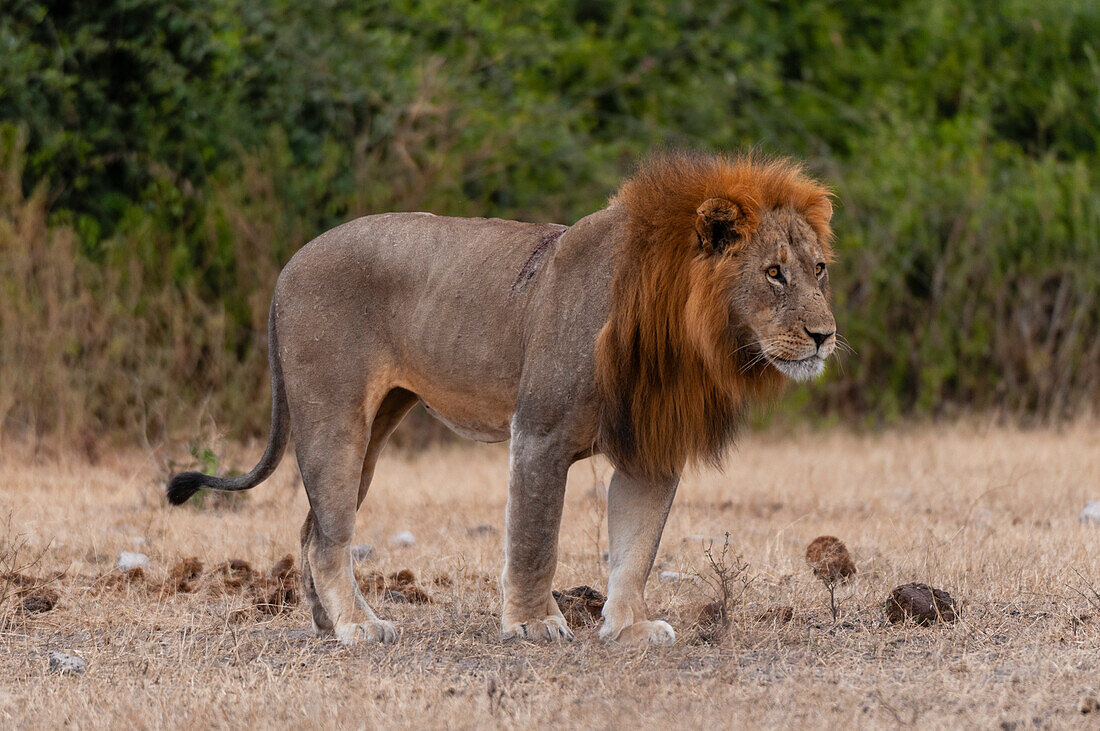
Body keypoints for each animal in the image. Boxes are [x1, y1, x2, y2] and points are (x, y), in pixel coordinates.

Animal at [165, 149, 831, 646]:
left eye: (818, 269)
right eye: (773, 273)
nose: (825, 335)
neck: (685, 330)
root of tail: (289, 265)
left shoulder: (651, 447)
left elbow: (636, 548)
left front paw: (629, 629)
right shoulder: (539, 432)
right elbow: (535, 538)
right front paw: (534, 624)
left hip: (376, 425)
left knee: (311, 531)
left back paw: (328, 625)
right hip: (335, 421)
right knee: (330, 538)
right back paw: (360, 628)